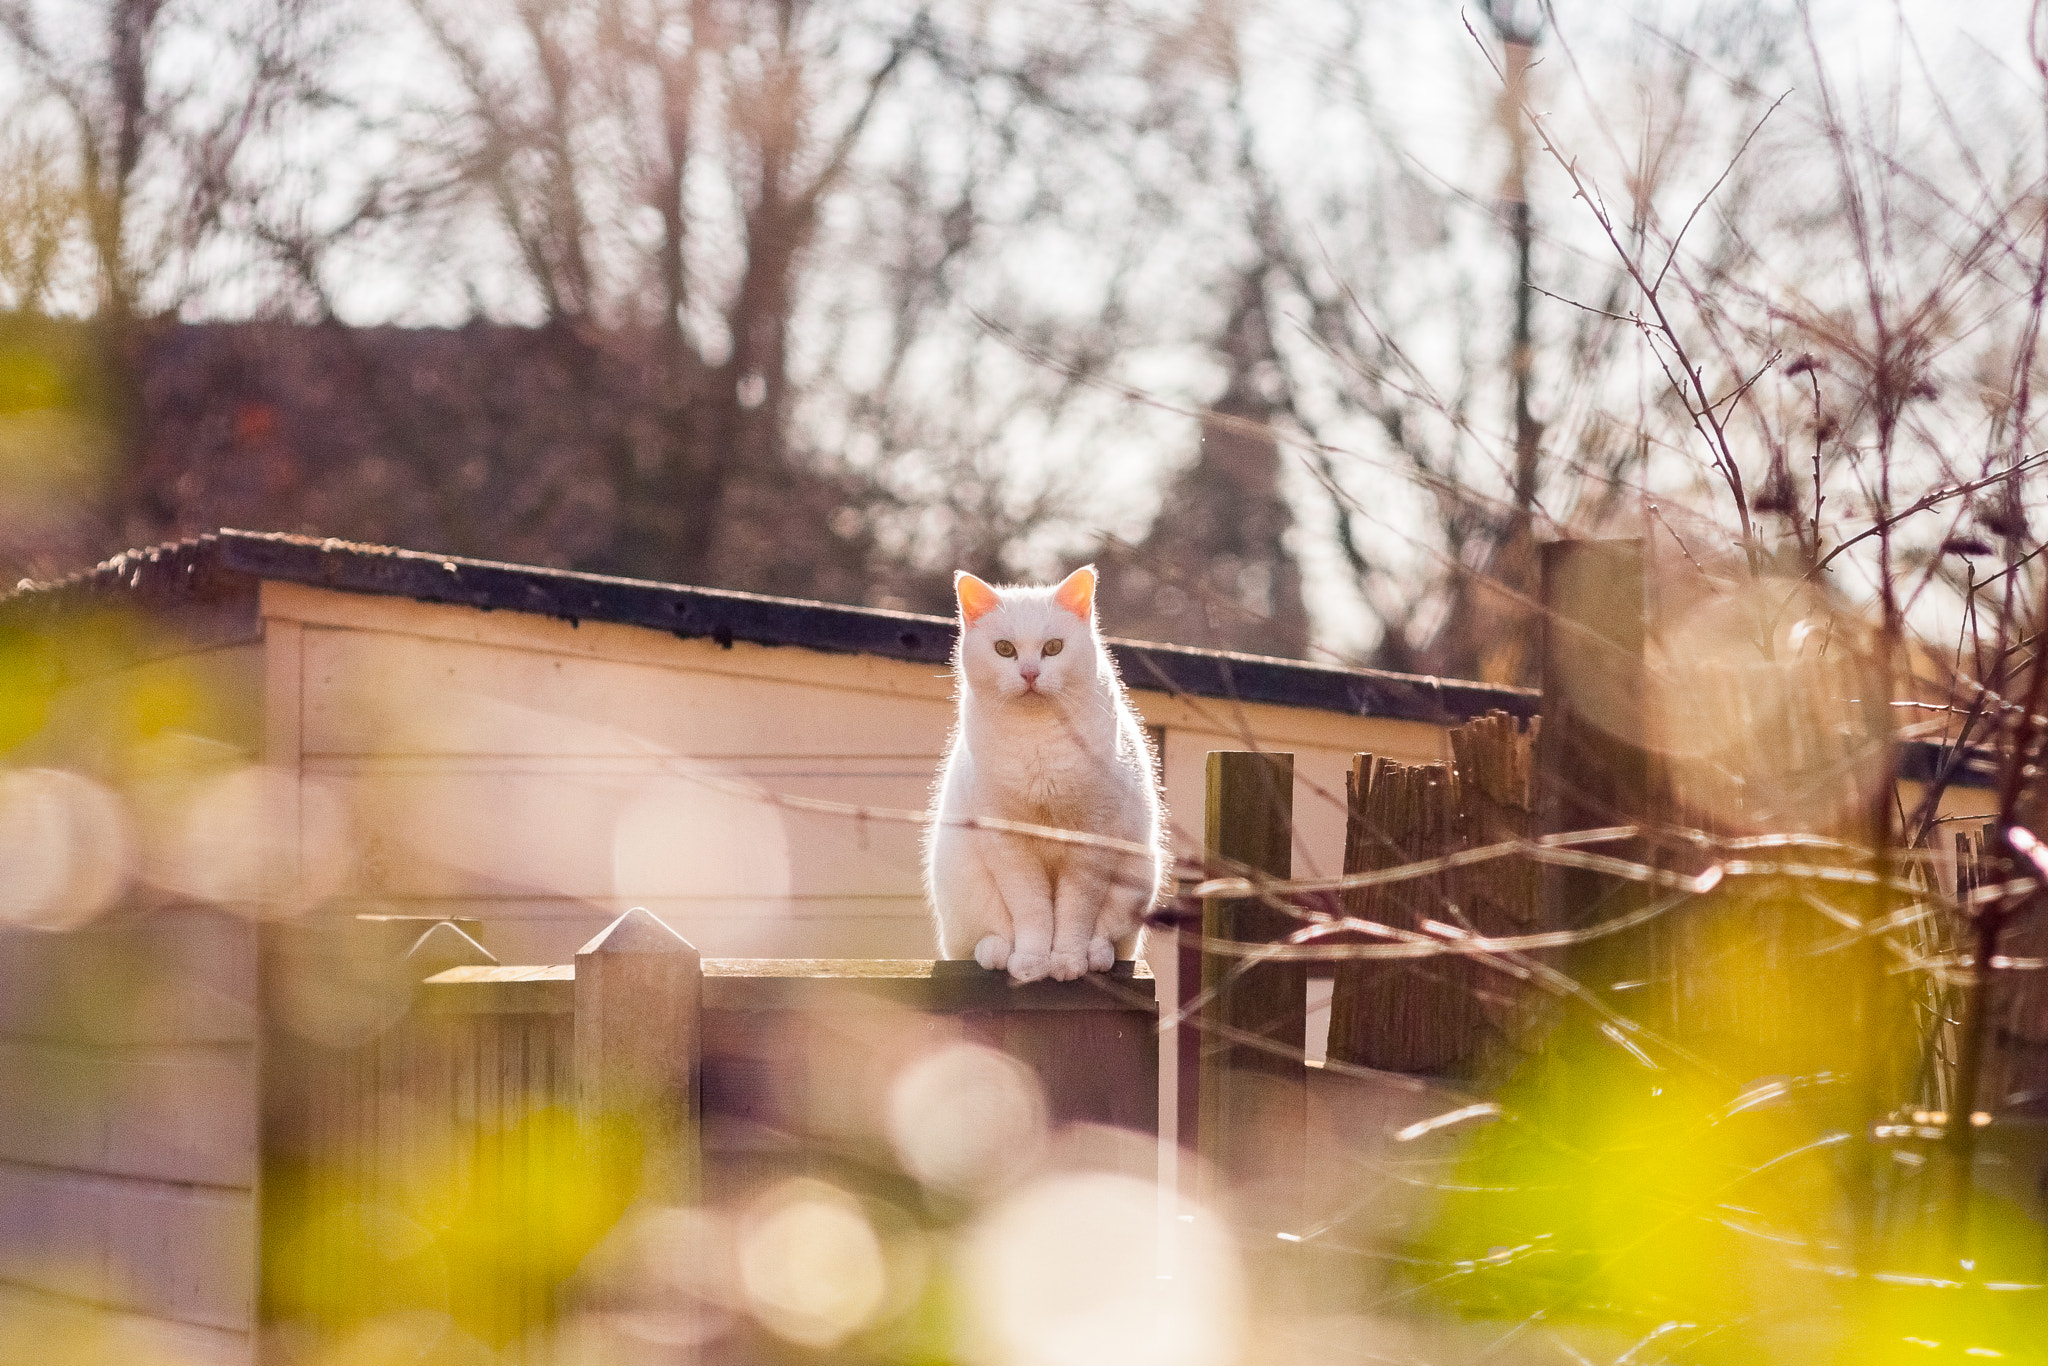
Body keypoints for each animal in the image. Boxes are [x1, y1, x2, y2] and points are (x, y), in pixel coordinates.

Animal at [929, 565, 1171, 983]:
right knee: (979, 940)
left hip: (1138, 875)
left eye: (1054, 648)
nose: (1029, 673)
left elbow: (1075, 912)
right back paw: (996, 952)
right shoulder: (1009, 842)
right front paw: (1030, 962)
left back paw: (1097, 955)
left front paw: (1068, 962)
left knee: (1111, 936)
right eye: (1004, 649)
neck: (1038, 740)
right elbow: (1032, 909)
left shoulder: (1090, 841)